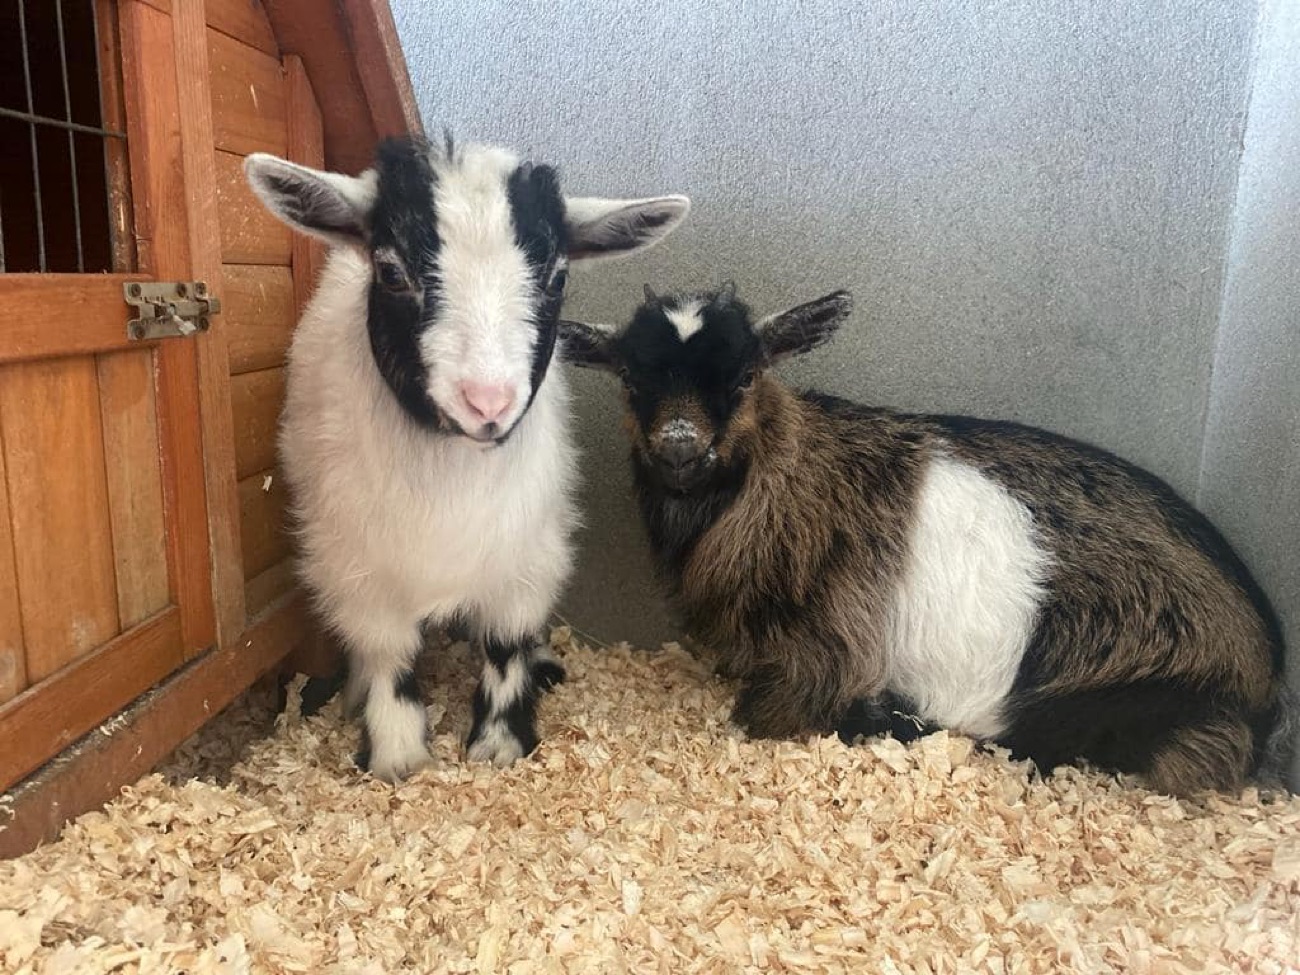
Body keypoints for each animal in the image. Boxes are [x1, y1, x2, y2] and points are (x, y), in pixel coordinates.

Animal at [243, 136, 689, 781]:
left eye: (557, 276)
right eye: (391, 271)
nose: (488, 401)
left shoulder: (526, 556)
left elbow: (505, 646)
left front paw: (498, 747)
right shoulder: (357, 567)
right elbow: (390, 653)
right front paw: (398, 757)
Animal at [560, 284, 1293, 796]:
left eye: (743, 377)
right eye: (631, 379)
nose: (680, 448)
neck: (781, 476)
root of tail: (1266, 672)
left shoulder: (822, 656)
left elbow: (774, 714)